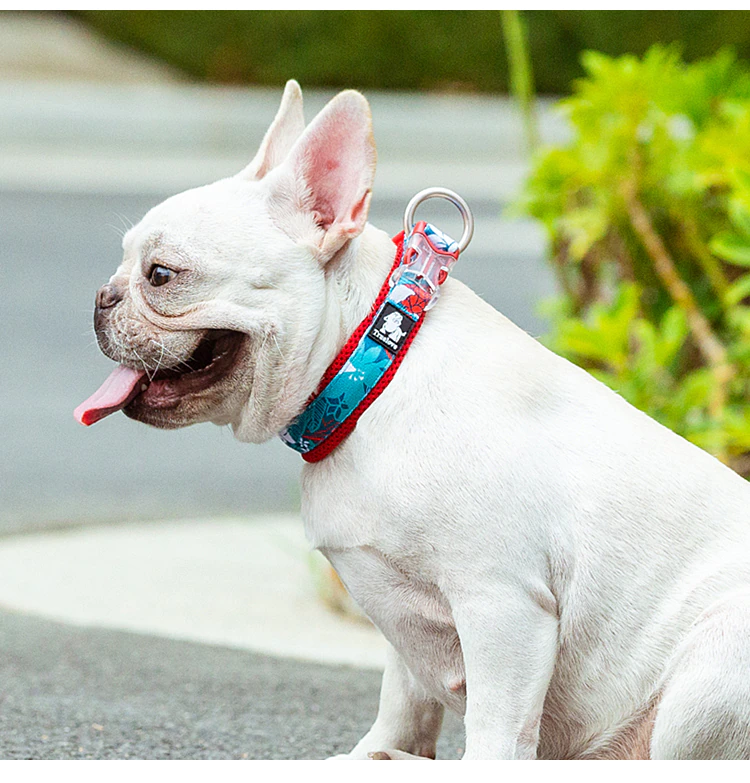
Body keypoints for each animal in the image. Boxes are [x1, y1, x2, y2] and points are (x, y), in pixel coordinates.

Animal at [76, 81, 750, 760]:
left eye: (162, 274)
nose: (102, 297)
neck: (370, 372)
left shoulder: (502, 605)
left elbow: (496, 726)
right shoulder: (402, 615)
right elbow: (403, 697)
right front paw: (378, 750)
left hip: (711, 670)